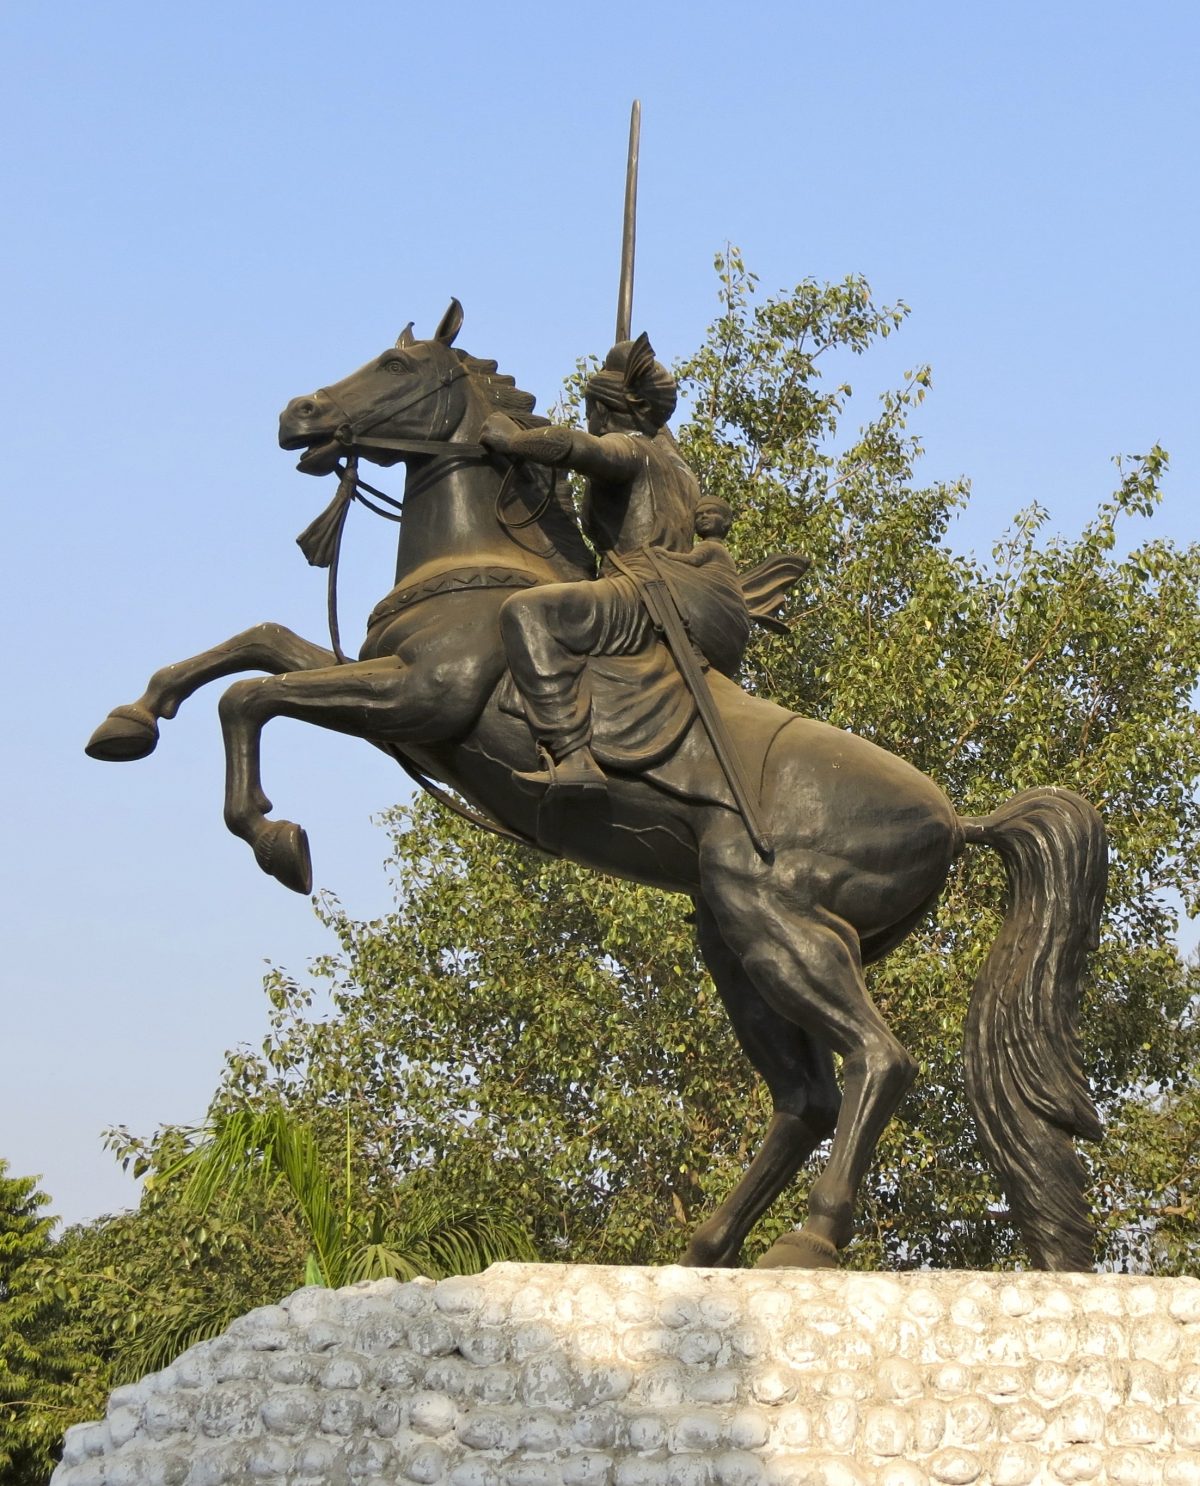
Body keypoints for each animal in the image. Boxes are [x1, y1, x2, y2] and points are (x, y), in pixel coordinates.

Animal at [89, 304, 1110, 1277]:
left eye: (397, 364)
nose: (297, 413)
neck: (477, 567)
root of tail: (957, 818)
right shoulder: (383, 689)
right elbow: (254, 645)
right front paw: (129, 723)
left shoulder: (417, 699)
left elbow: (252, 696)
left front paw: (276, 839)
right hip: (731, 943)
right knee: (806, 1099)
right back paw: (706, 1251)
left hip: (778, 923)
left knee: (880, 1061)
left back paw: (810, 1241)